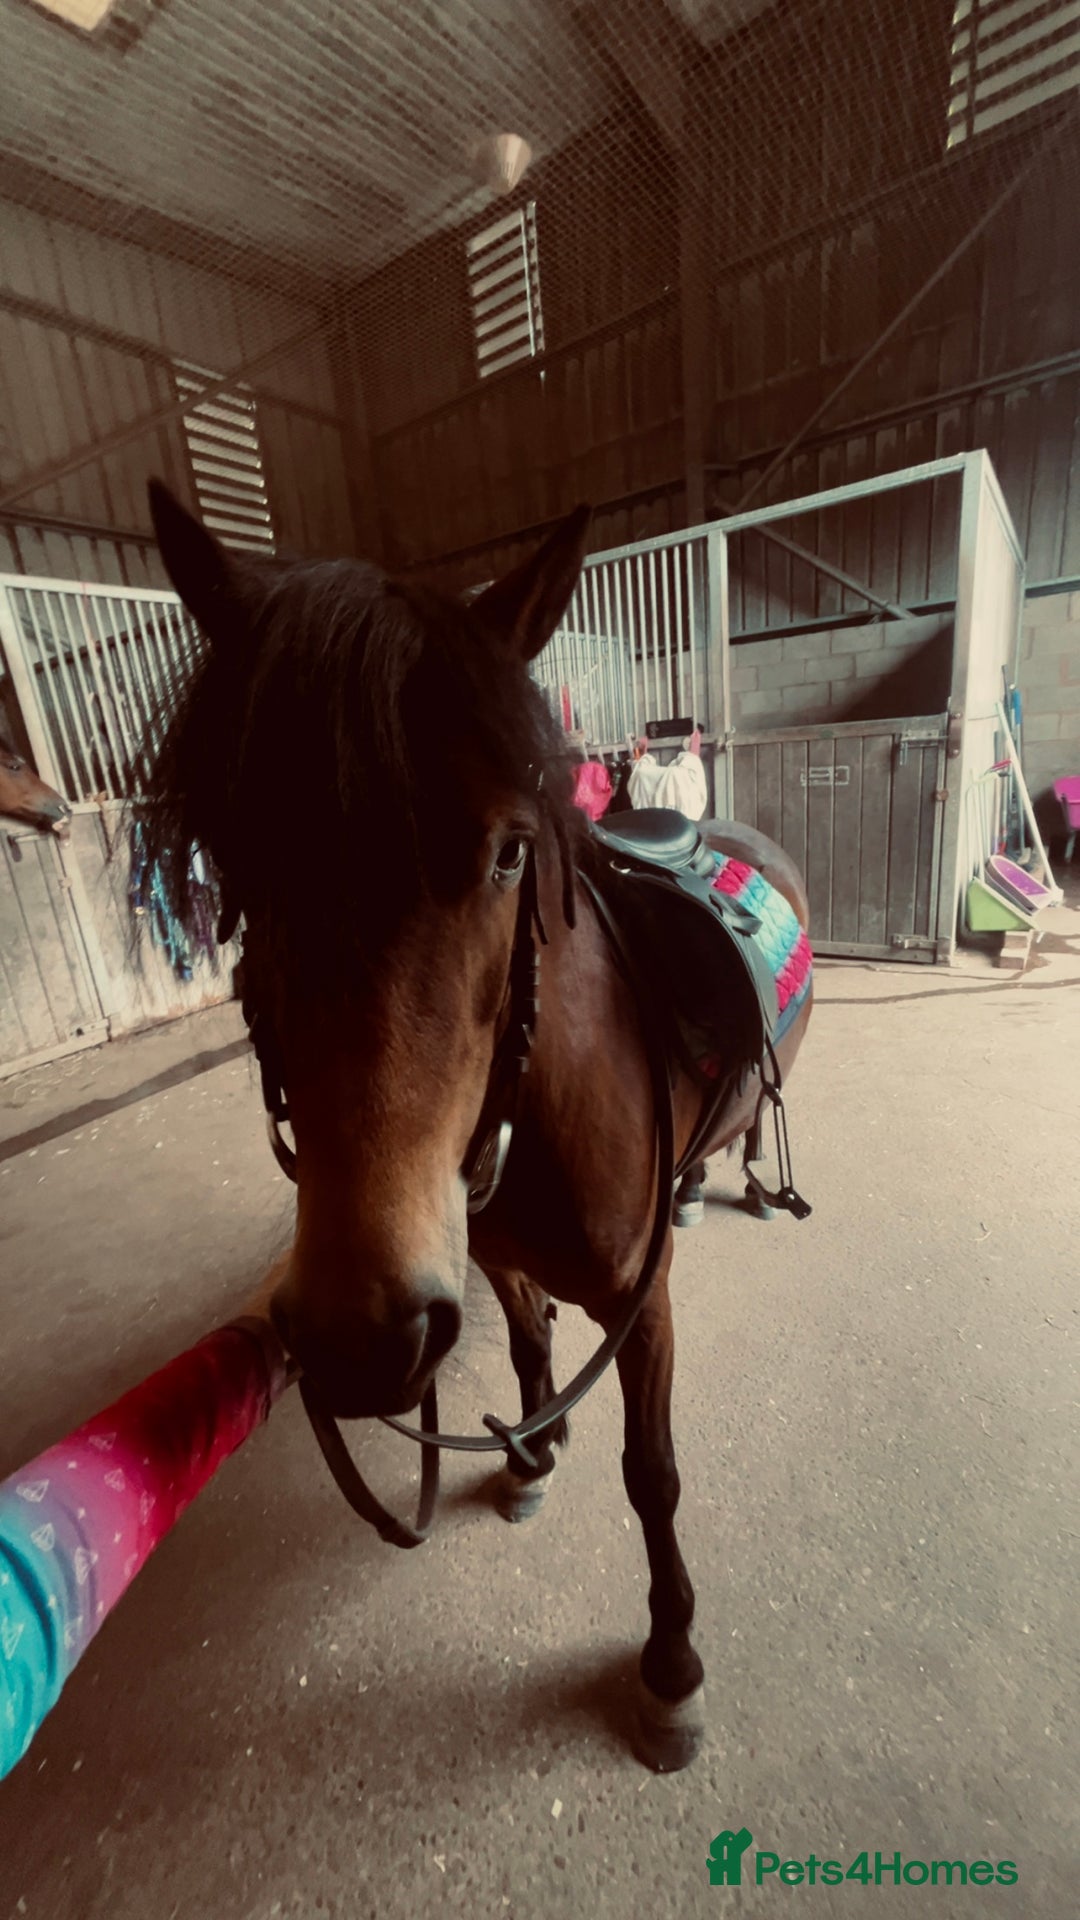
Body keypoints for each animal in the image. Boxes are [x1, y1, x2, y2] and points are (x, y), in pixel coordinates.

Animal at [138, 479, 813, 1772]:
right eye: (241, 867)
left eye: (510, 851)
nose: (358, 1338)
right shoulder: (490, 1258)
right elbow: (534, 1351)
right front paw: (532, 1457)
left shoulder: (641, 1305)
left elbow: (652, 1475)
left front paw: (670, 1664)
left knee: (760, 1121)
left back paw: (747, 1183)